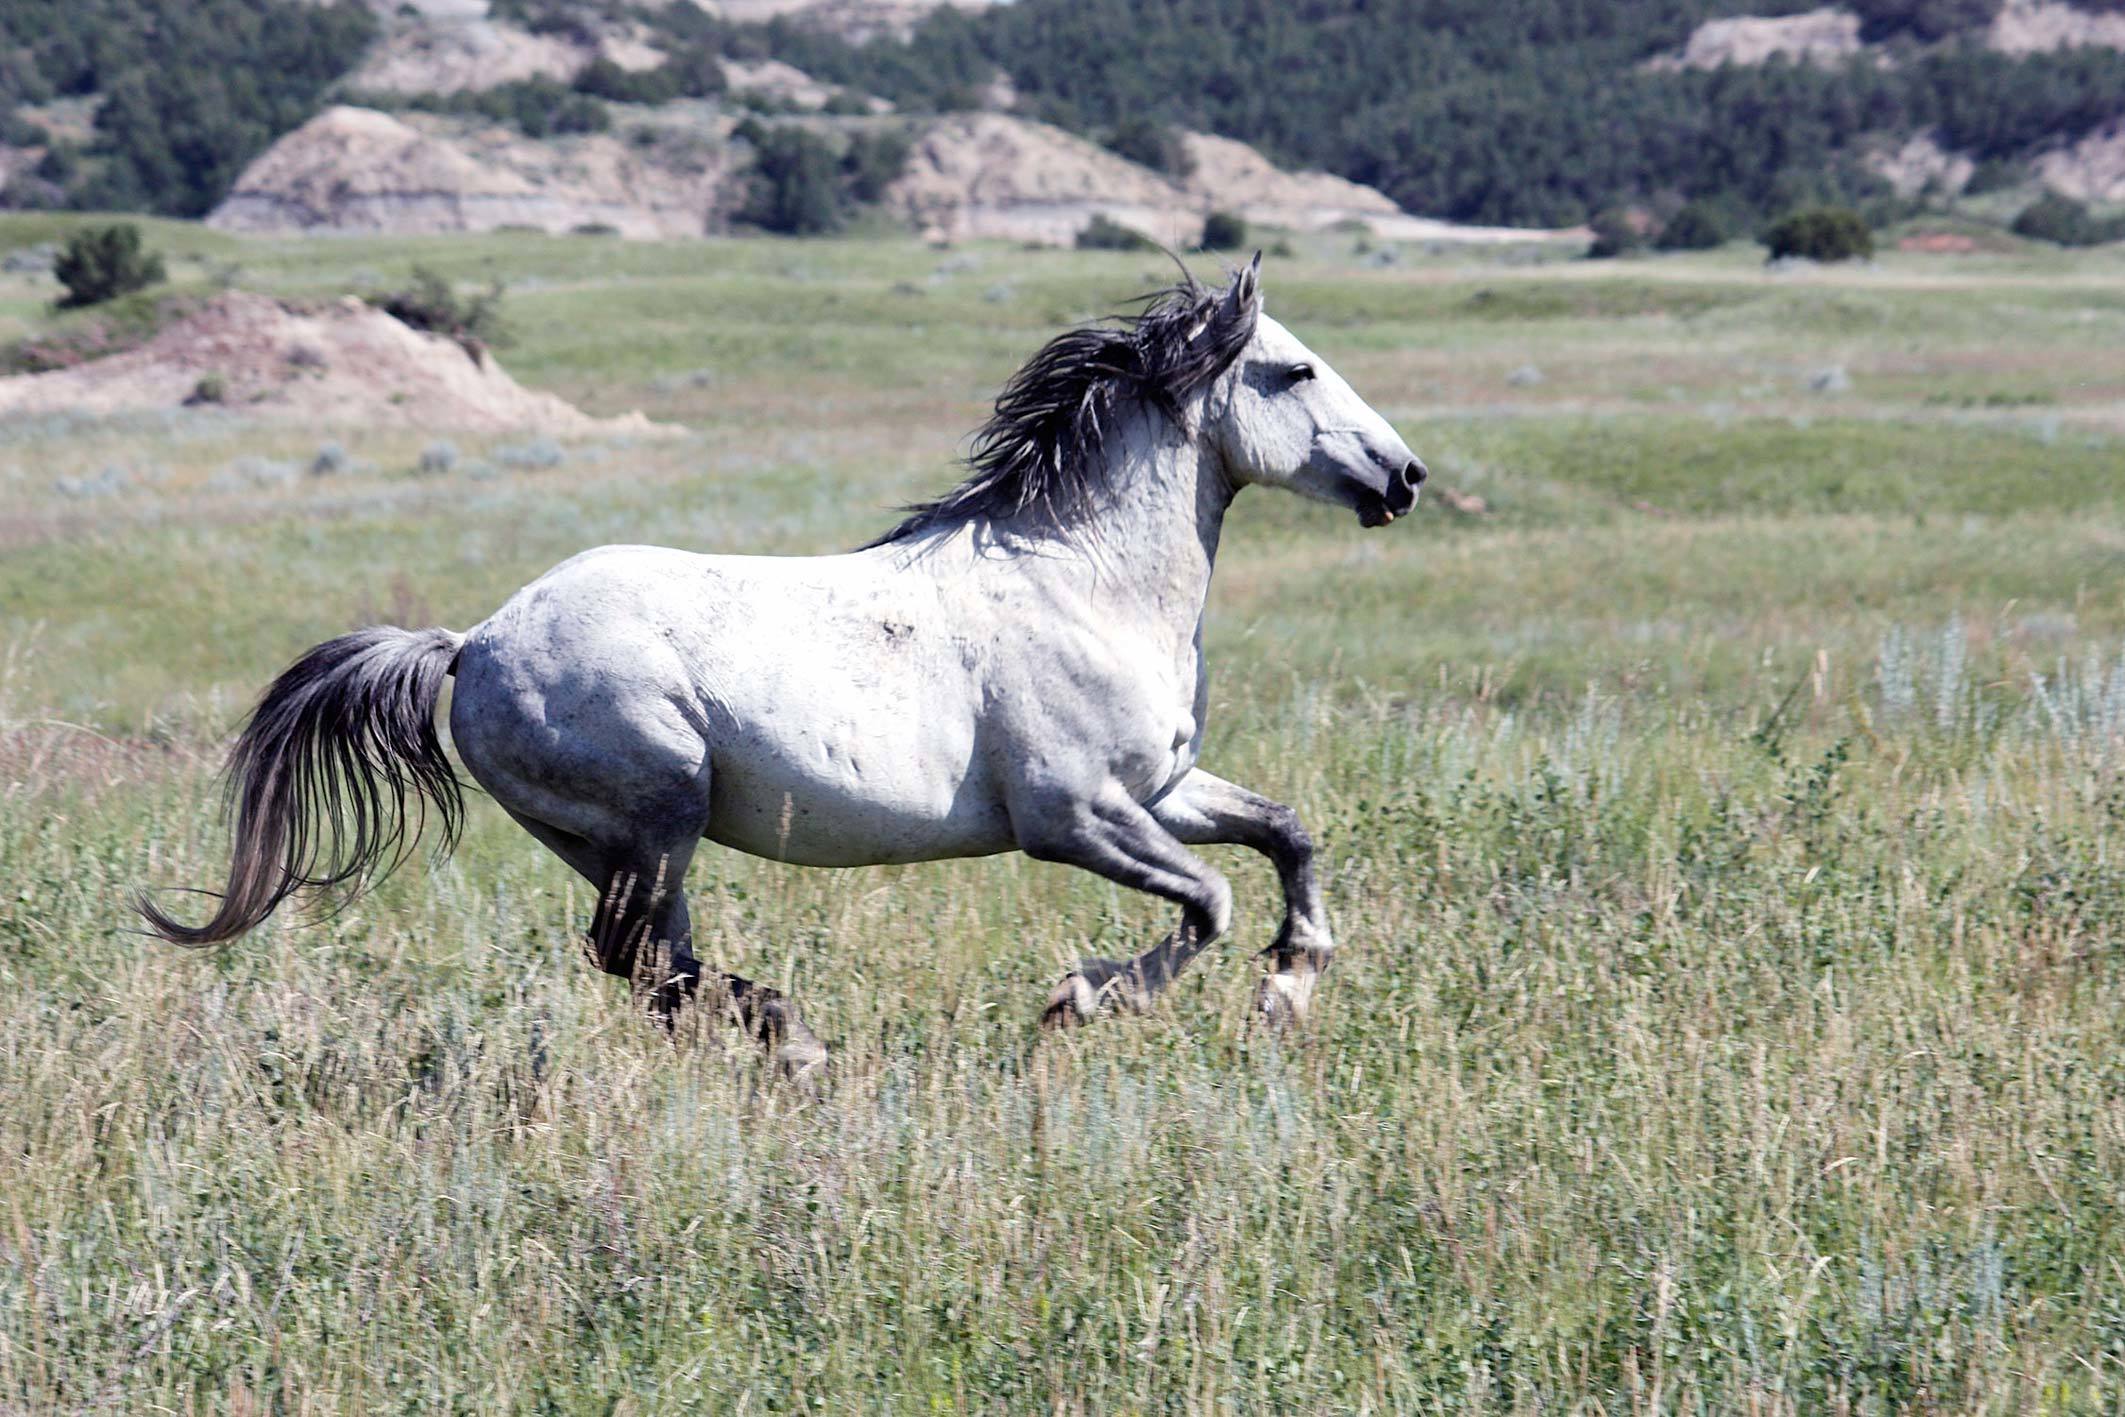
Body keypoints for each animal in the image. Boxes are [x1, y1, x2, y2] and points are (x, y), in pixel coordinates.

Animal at [140, 256, 1426, 1076]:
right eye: (1295, 374)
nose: (1403, 476)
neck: (1082, 582)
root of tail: (471, 646)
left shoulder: (1160, 790)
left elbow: (1287, 836)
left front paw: (1289, 985)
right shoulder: (1075, 815)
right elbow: (1207, 902)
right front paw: (1079, 1004)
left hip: (610, 842)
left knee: (654, 967)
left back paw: (787, 1042)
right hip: (659, 815)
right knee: (640, 961)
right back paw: (799, 1042)